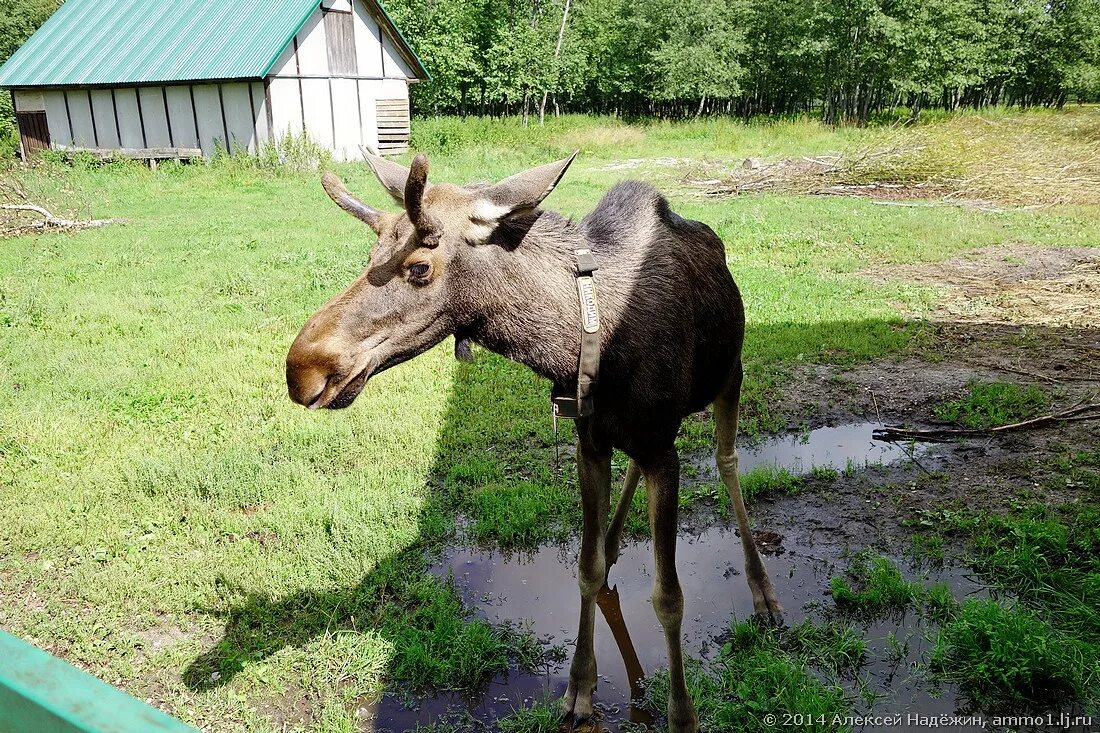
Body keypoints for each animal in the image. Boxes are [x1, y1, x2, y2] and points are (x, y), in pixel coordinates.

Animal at [283, 150, 783, 726]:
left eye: (419, 267)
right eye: (371, 254)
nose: (302, 367)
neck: (579, 347)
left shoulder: (663, 448)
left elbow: (669, 597)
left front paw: (682, 713)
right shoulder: (594, 442)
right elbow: (586, 568)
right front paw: (581, 687)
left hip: (730, 377)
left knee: (726, 460)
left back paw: (763, 590)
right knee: (635, 476)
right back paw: (616, 542)